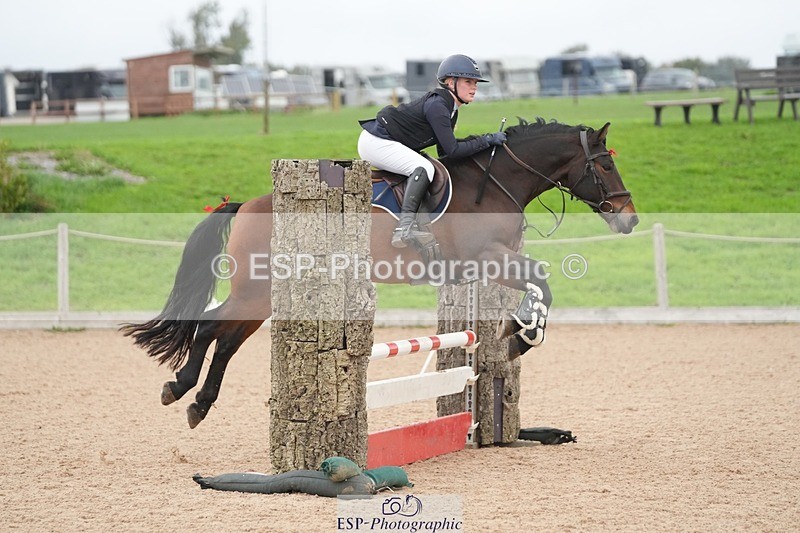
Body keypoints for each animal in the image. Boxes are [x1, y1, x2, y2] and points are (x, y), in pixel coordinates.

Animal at [121, 117, 638, 428]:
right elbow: (544, 284)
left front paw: (518, 331)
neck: (496, 184)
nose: (629, 220)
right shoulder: (487, 257)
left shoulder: (493, 263)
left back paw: (198, 402)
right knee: (210, 326)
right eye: (605, 165)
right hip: (255, 288)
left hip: (266, 295)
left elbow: (539, 285)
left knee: (227, 339)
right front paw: (519, 337)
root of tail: (246, 203)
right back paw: (179, 388)